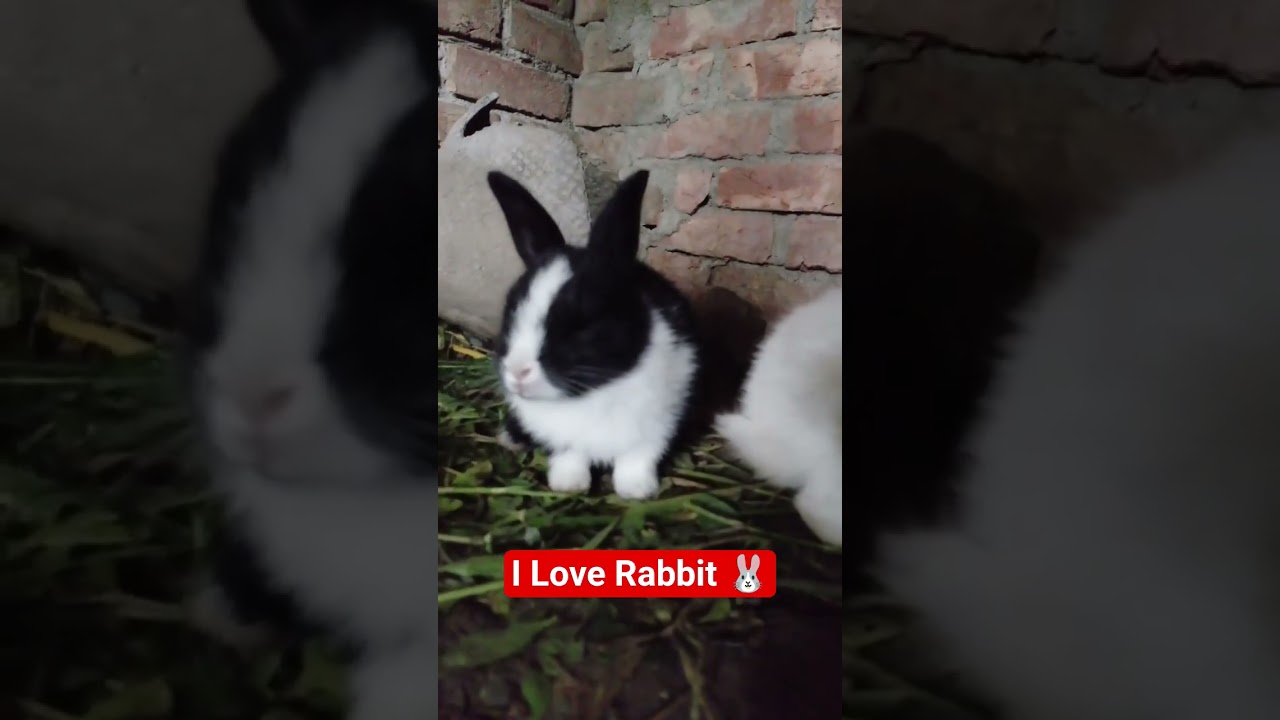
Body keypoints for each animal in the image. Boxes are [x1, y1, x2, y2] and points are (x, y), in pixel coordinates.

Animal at [486, 169, 705, 501]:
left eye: (583, 323)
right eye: (511, 310)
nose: (518, 372)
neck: (591, 394)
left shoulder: (657, 426)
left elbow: (636, 460)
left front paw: (636, 491)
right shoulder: (562, 439)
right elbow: (571, 456)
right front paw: (568, 485)